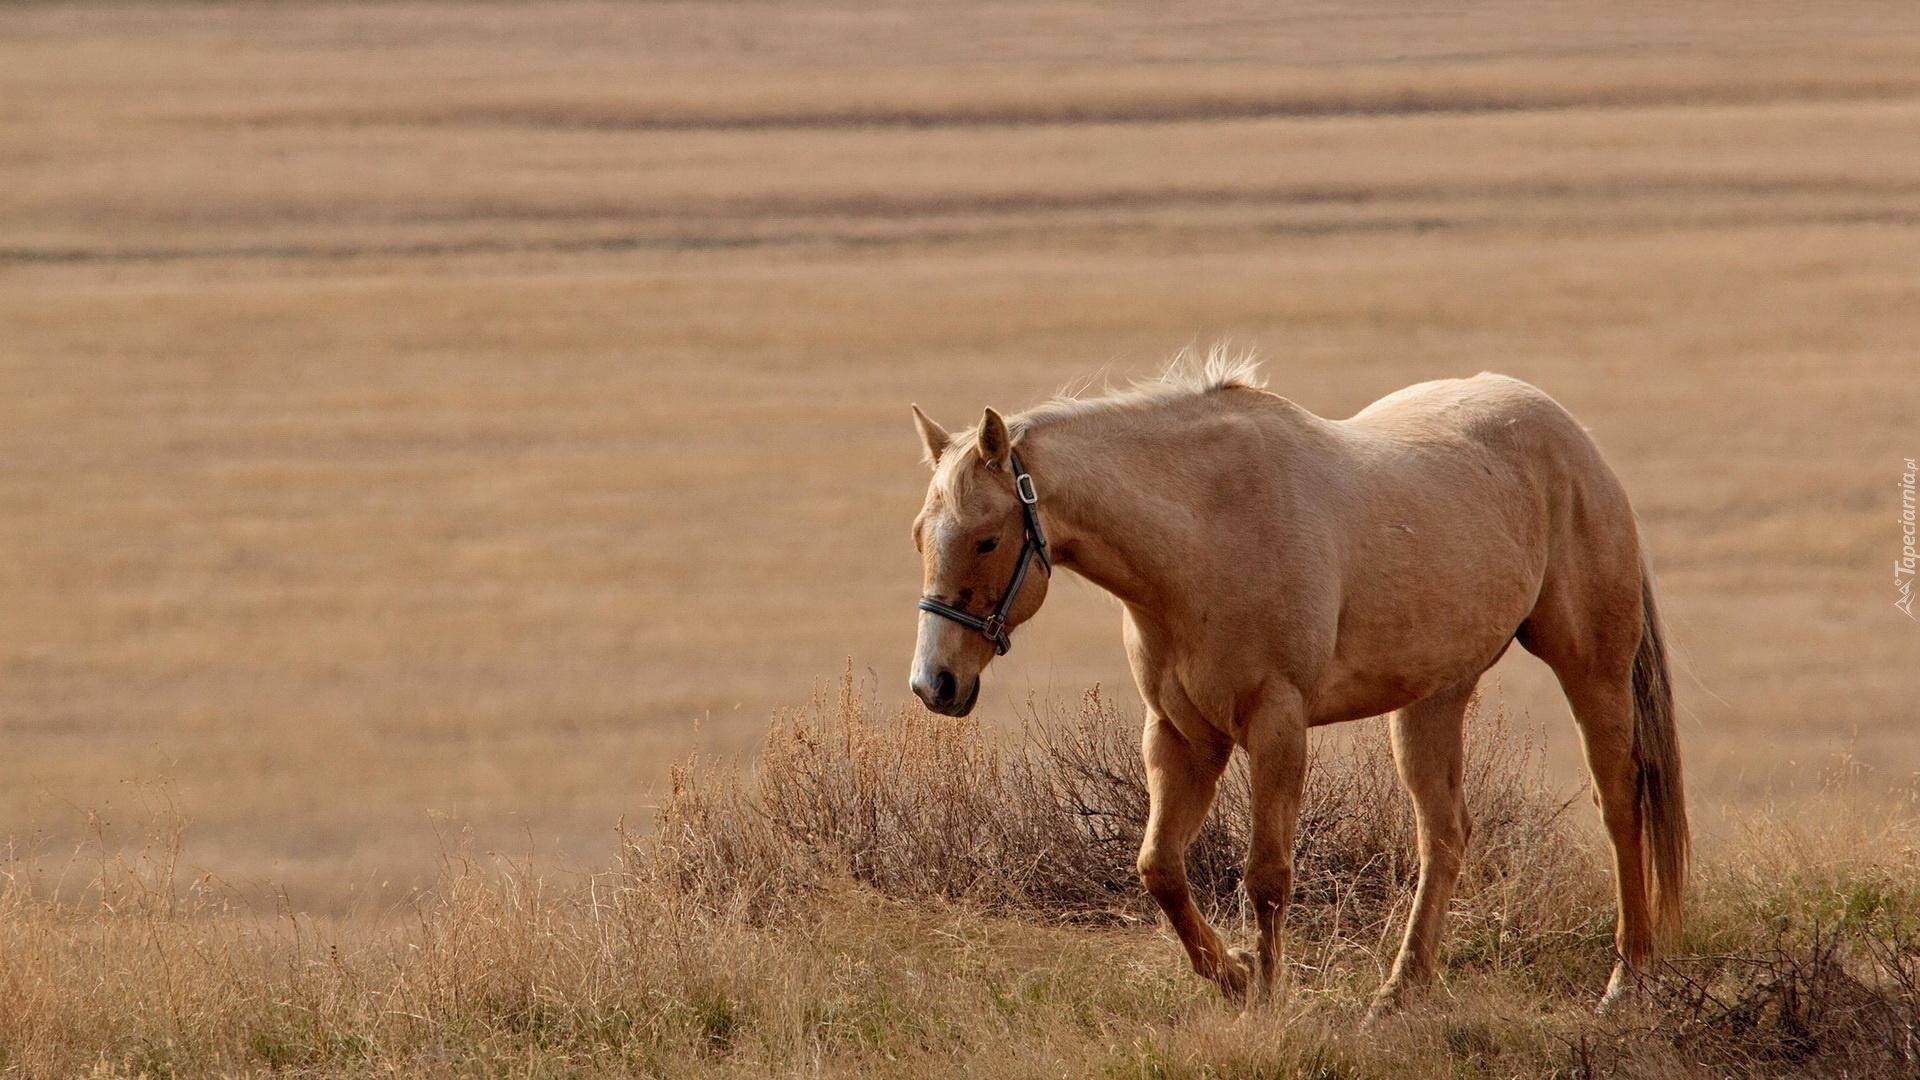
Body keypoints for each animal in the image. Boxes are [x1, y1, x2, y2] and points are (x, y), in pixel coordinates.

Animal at [906, 353, 1689, 1006]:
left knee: (1620, 803)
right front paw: (1232, 976)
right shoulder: (1183, 735)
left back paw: (1627, 979)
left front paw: (1267, 995)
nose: (934, 683)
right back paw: (1401, 990)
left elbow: (1267, 876)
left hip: (1590, 670)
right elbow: (1160, 867)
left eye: (986, 538)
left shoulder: (1276, 726)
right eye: (920, 534)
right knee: (1444, 833)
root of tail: (1572, 438)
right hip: (1433, 699)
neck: (1207, 531)